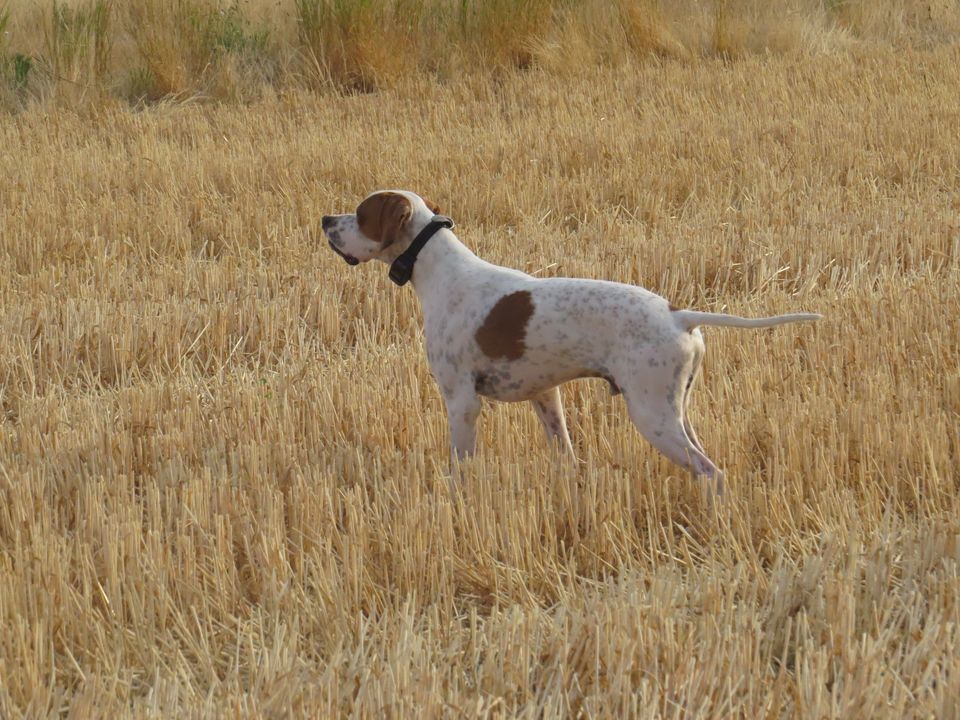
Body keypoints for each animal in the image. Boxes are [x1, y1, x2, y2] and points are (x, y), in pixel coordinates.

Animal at [320, 188, 816, 498]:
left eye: (360, 214)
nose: (325, 218)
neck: (441, 270)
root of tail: (679, 314)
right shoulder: (546, 395)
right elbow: (565, 453)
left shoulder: (461, 401)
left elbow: (460, 465)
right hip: (676, 411)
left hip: (651, 415)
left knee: (712, 472)